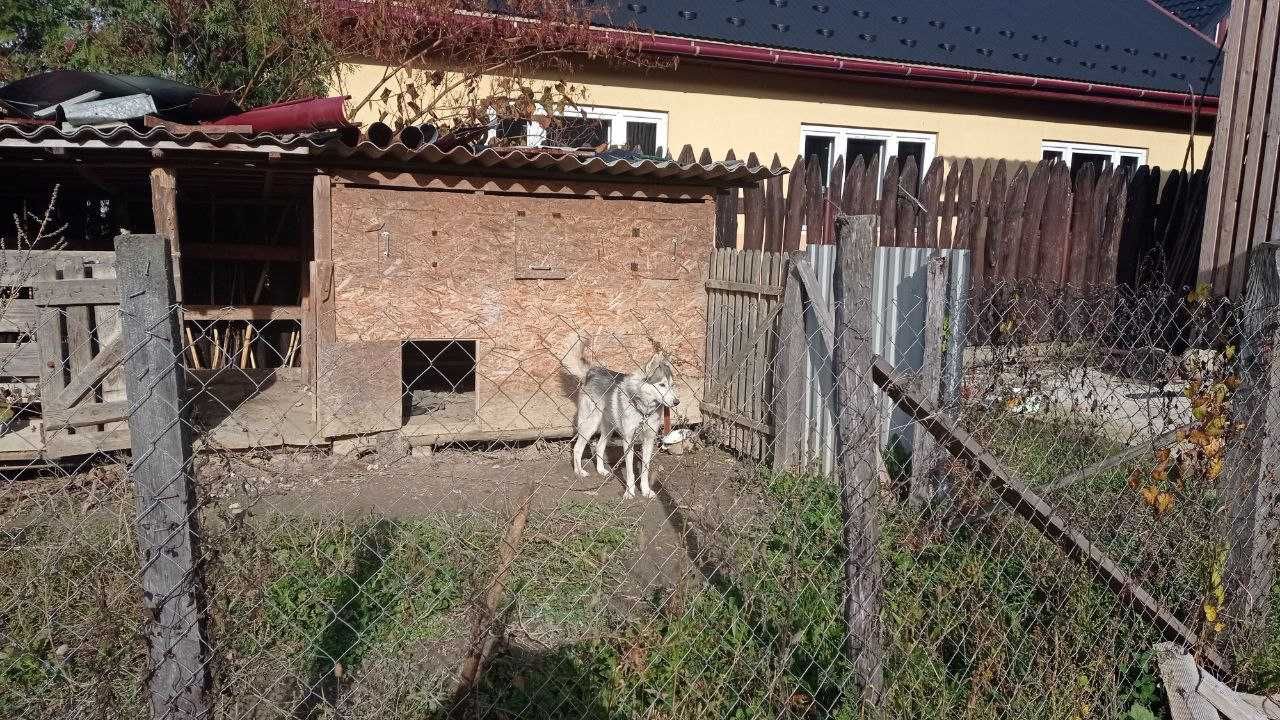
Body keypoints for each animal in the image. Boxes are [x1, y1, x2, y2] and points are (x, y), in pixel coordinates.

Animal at [560, 333, 680, 497]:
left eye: (672, 385)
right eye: (661, 385)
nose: (676, 402)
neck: (643, 410)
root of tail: (591, 371)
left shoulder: (649, 440)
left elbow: (645, 470)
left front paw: (645, 490)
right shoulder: (628, 440)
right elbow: (630, 472)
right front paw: (629, 492)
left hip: (608, 427)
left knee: (599, 447)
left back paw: (601, 470)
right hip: (590, 426)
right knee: (577, 448)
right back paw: (579, 472)